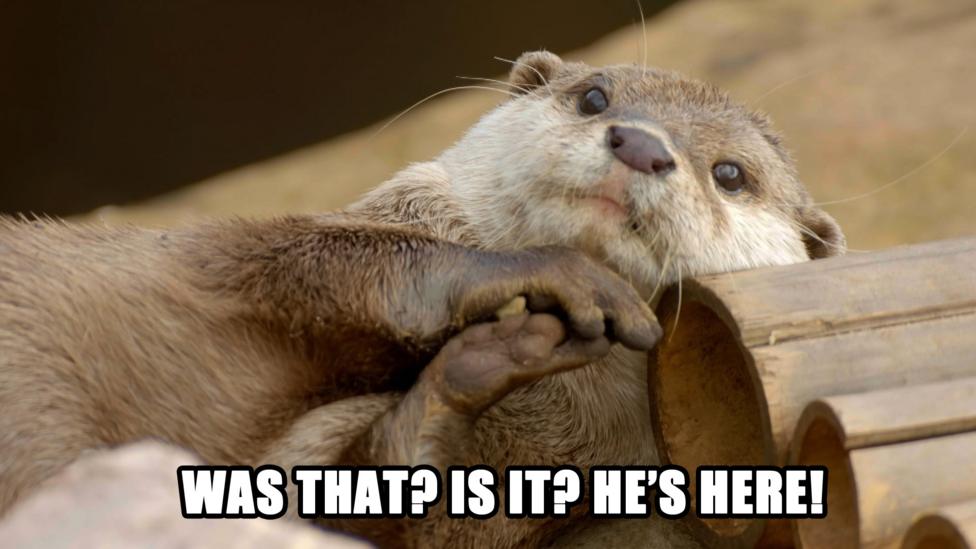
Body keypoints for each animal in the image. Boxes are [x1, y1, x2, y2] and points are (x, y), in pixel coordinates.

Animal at [0, 51, 844, 547]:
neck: (545, 430)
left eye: (731, 173)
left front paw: (475, 369)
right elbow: (312, 260)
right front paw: (536, 282)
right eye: (594, 96)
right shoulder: (257, 258)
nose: (639, 142)